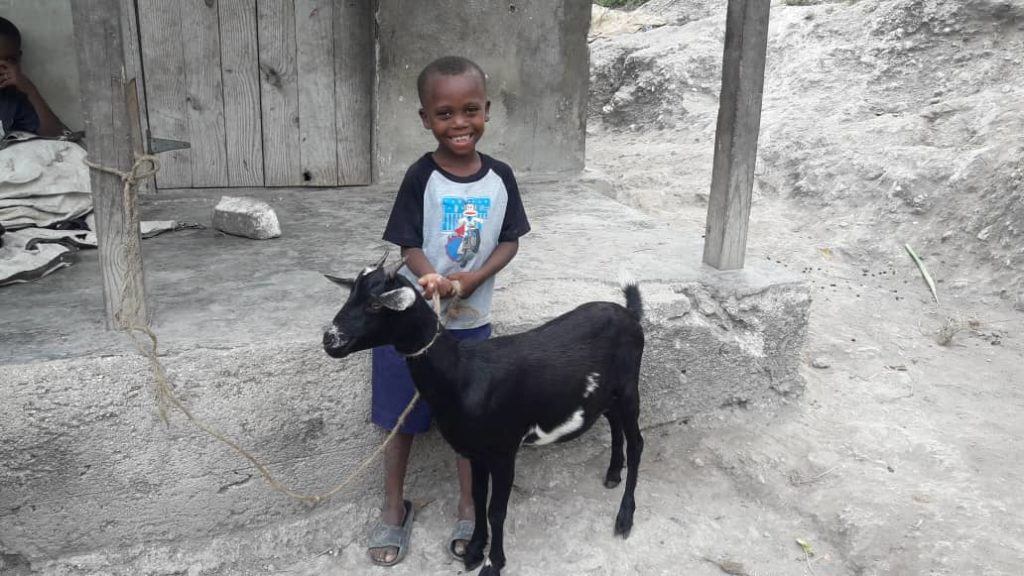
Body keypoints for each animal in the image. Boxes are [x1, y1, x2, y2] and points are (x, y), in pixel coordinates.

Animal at [323, 255, 643, 573]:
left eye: (375, 304)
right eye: (351, 296)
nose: (330, 340)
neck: (461, 372)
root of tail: (630, 313)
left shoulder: (504, 451)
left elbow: (496, 509)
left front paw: (493, 562)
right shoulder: (473, 451)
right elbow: (477, 498)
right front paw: (474, 550)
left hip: (629, 388)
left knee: (637, 443)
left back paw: (625, 518)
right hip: (607, 393)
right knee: (614, 422)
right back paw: (613, 473)